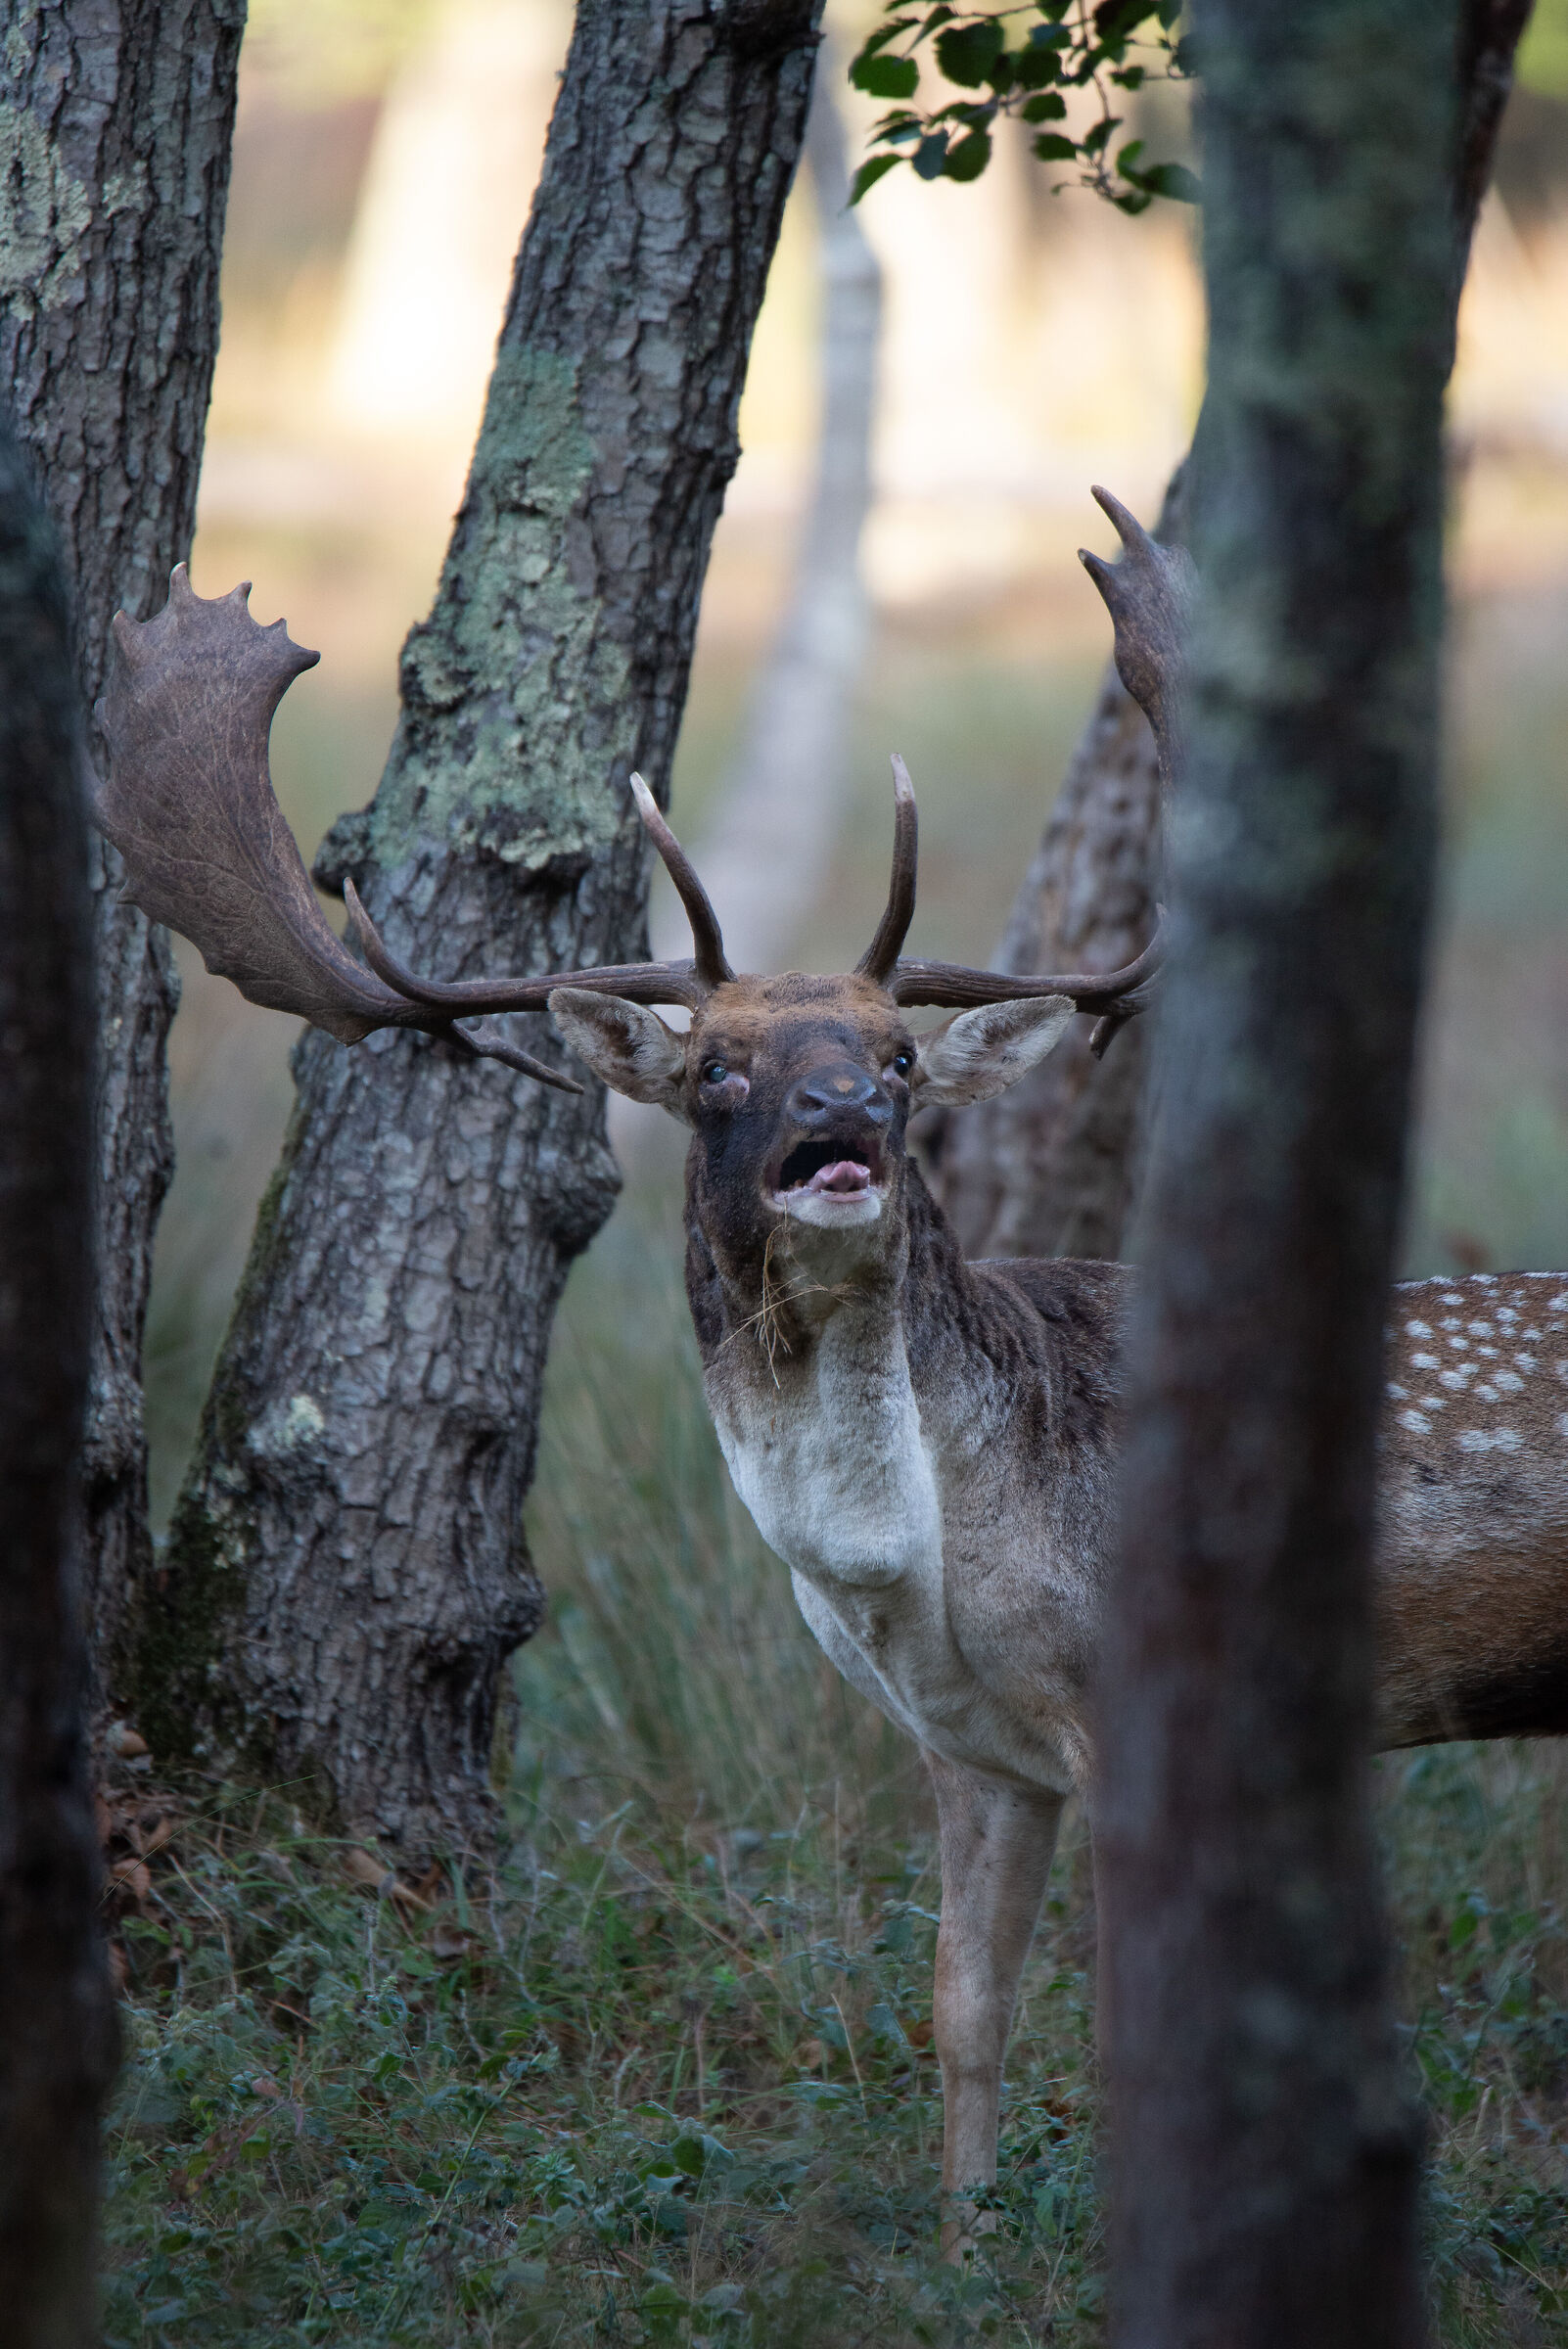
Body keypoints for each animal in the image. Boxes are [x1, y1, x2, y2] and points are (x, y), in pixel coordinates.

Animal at [96, 492, 1568, 2255]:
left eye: (900, 1055)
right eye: (718, 1070)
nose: (841, 1123)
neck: (909, 1567)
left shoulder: (1123, 1703)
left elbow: (1127, 2028)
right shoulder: (974, 1754)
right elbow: (962, 2017)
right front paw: (965, 2249)